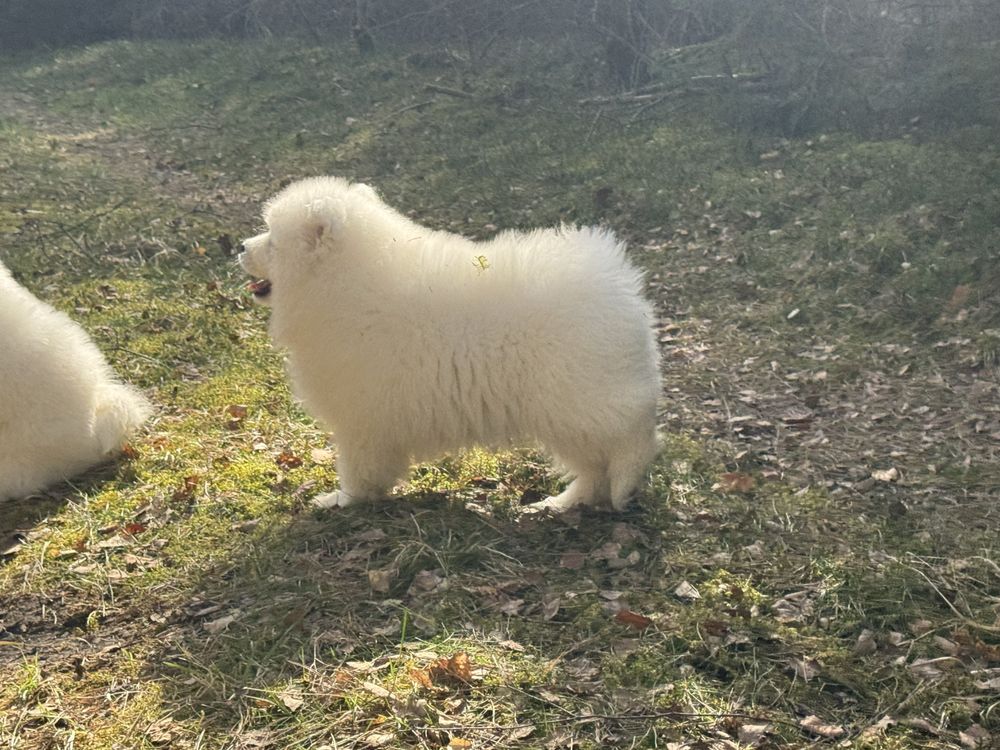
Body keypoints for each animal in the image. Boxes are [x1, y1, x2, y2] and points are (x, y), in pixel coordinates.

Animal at [240, 179, 664, 516]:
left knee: (631, 438)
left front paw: (342, 500)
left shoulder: (362, 419)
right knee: (595, 469)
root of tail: (615, 282)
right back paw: (560, 503)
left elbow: (358, 469)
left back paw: (621, 485)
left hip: (577, 402)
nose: (241, 247)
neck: (341, 285)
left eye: (273, 241)